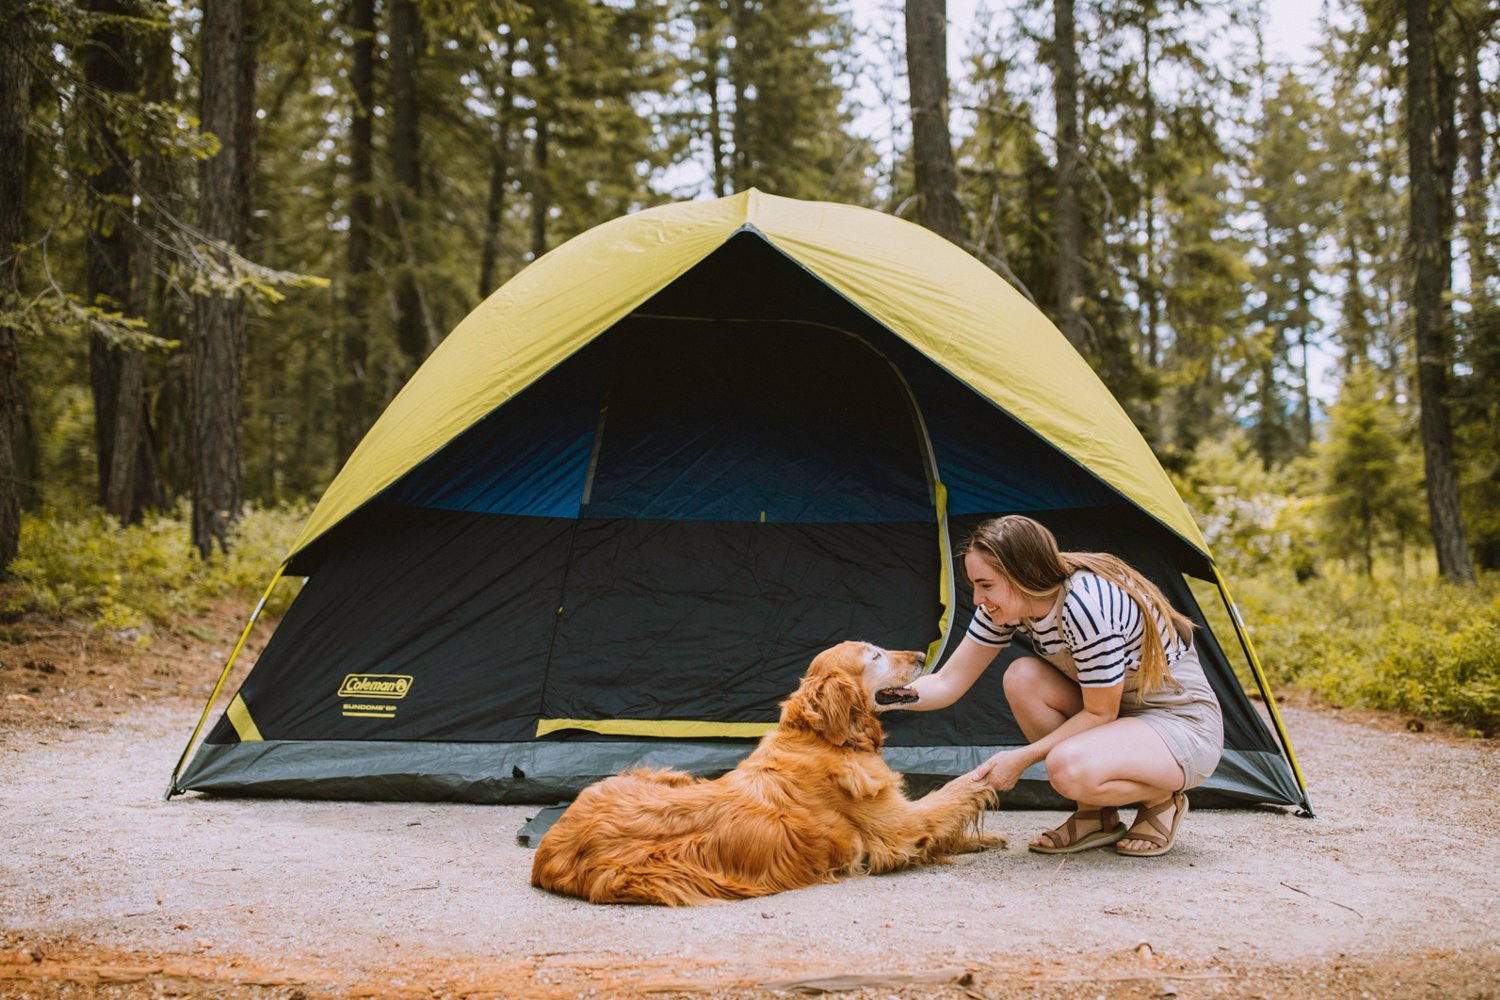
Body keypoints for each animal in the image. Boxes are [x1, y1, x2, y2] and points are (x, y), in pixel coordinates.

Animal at [531, 641, 1008, 905]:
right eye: (875, 654)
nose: (923, 654)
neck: (826, 740)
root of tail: (545, 857)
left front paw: (985, 839)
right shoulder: (899, 829)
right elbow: (953, 793)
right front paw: (992, 777)